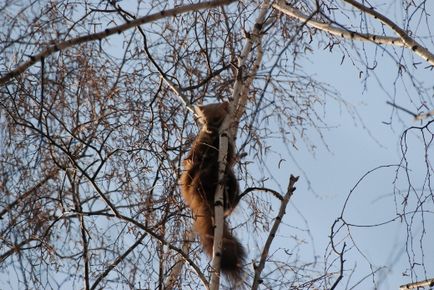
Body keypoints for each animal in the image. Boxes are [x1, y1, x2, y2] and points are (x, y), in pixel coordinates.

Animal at [179, 101, 244, 284]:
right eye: (203, 120)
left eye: (215, 118)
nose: (208, 129)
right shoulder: (199, 147)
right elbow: (192, 157)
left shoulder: (227, 148)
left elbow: (229, 155)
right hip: (196, 178)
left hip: (231, 181)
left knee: (230, 179)